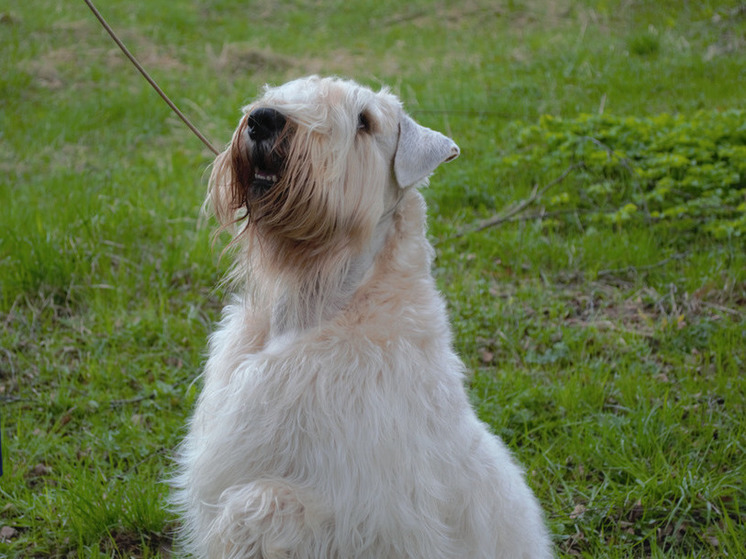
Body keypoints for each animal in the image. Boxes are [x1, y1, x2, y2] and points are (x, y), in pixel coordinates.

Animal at [171, 75, 548, 559]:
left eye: (365, 122)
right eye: (283, 91)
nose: (263, 119)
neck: (317, 306)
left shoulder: (368, 511)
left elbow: (263, 503)